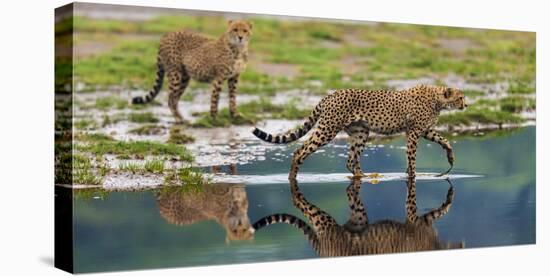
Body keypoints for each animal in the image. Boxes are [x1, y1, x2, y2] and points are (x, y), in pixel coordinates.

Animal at [252, 84, 468, 179]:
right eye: (460, 97)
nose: (466, 105)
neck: (437, 99)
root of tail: (331, 95)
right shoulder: (414, 132)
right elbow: (412, 156)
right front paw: (411, 175)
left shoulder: (424, 130)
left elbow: (443, 140)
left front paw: (450, 156)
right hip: (328, 129)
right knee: (300, 151)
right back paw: (292, 178)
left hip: (360, 133)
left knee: (350, 160)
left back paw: (364, 177)